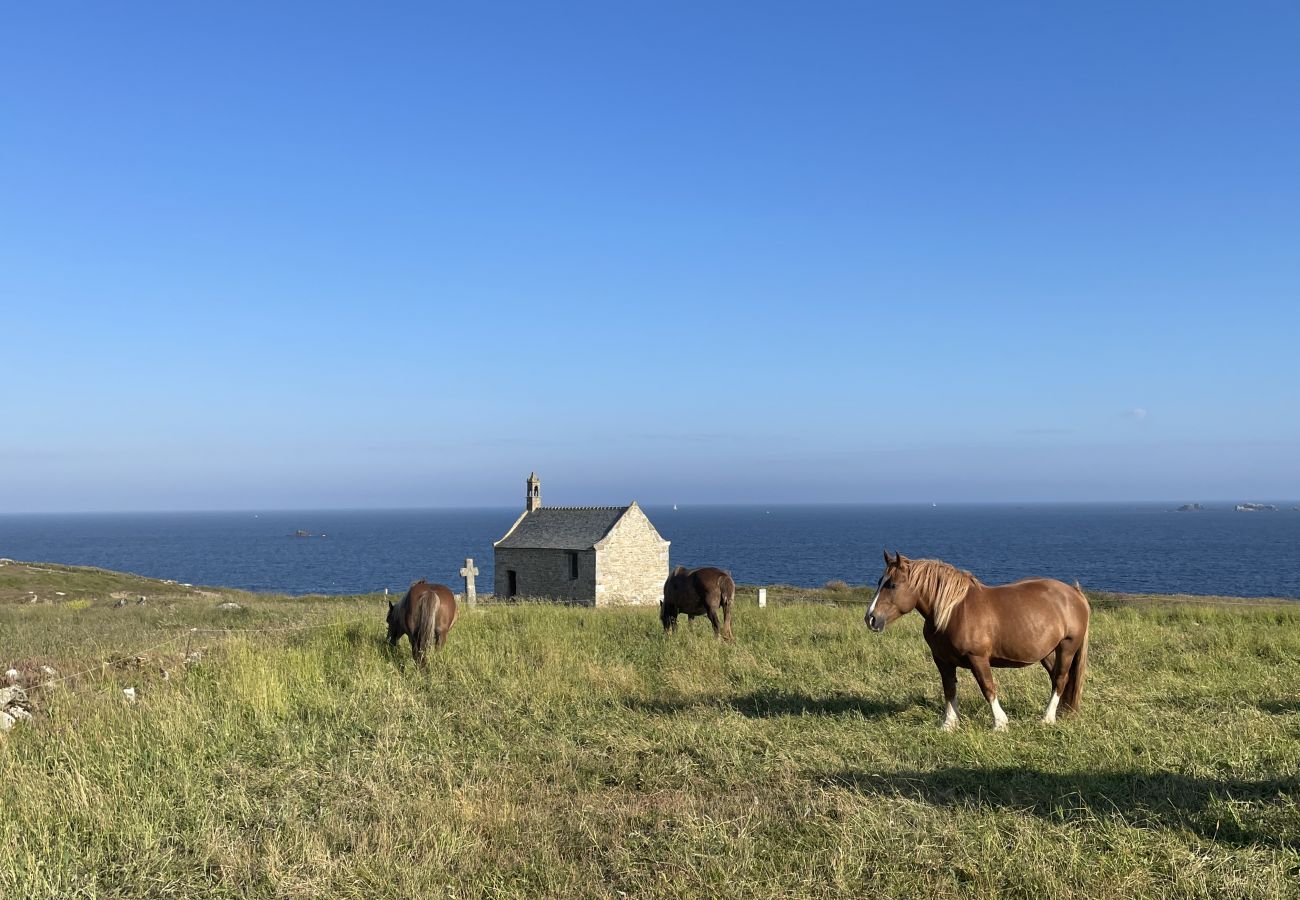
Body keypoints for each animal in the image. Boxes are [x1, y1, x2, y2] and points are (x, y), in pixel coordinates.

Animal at [868, 548, 1092, 733]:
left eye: (892, 584)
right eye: (879, 582)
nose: (870, 618)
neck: (953, 611)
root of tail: (1074, 593)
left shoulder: (978, 658)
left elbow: (988, 687)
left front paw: (1000, 723)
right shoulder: (942, 660)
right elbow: (949, 688)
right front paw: (949, 724)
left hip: (1067, 647)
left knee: (1060, 678)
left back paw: (1047, 718)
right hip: (1047, 652)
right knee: (1056, 678)